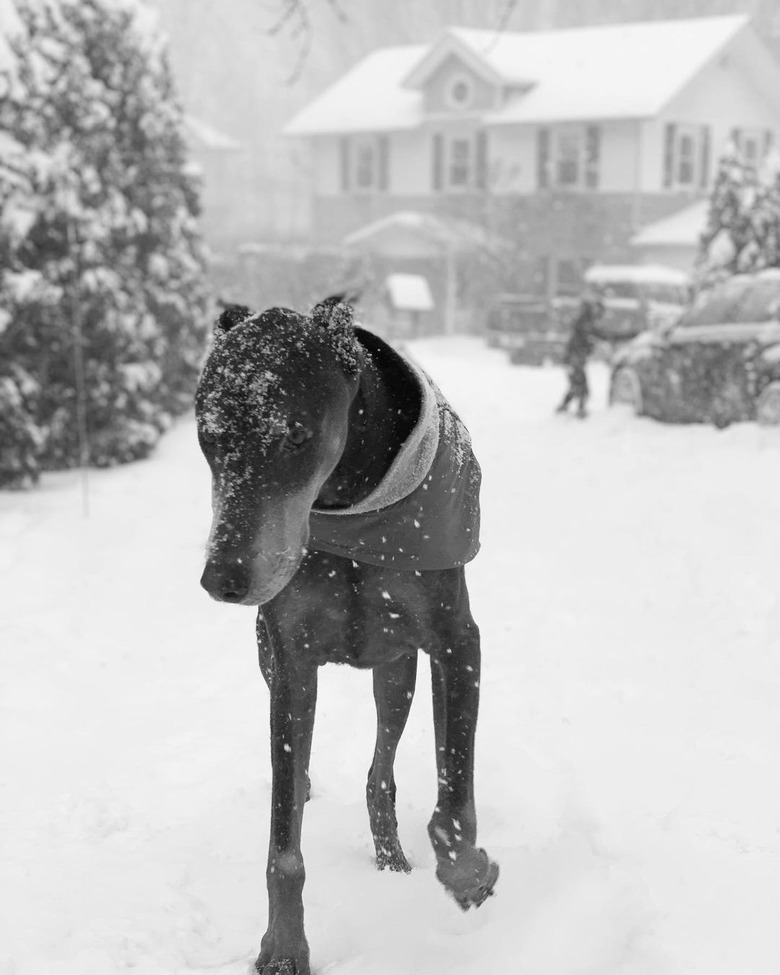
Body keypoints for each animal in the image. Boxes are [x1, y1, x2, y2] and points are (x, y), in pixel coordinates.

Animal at [197, 298, 500, 975]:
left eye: (298, 435)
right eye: (207, 437)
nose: (221, 579)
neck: (350, 507)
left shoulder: (456, 643)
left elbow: (454, 788)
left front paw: (469, 875)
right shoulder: (289, 662)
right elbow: (283, 840)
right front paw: (284, 947)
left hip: (397, 668)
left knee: (380, 768)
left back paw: (392, 856)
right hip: (277, 660)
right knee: (307, 763)